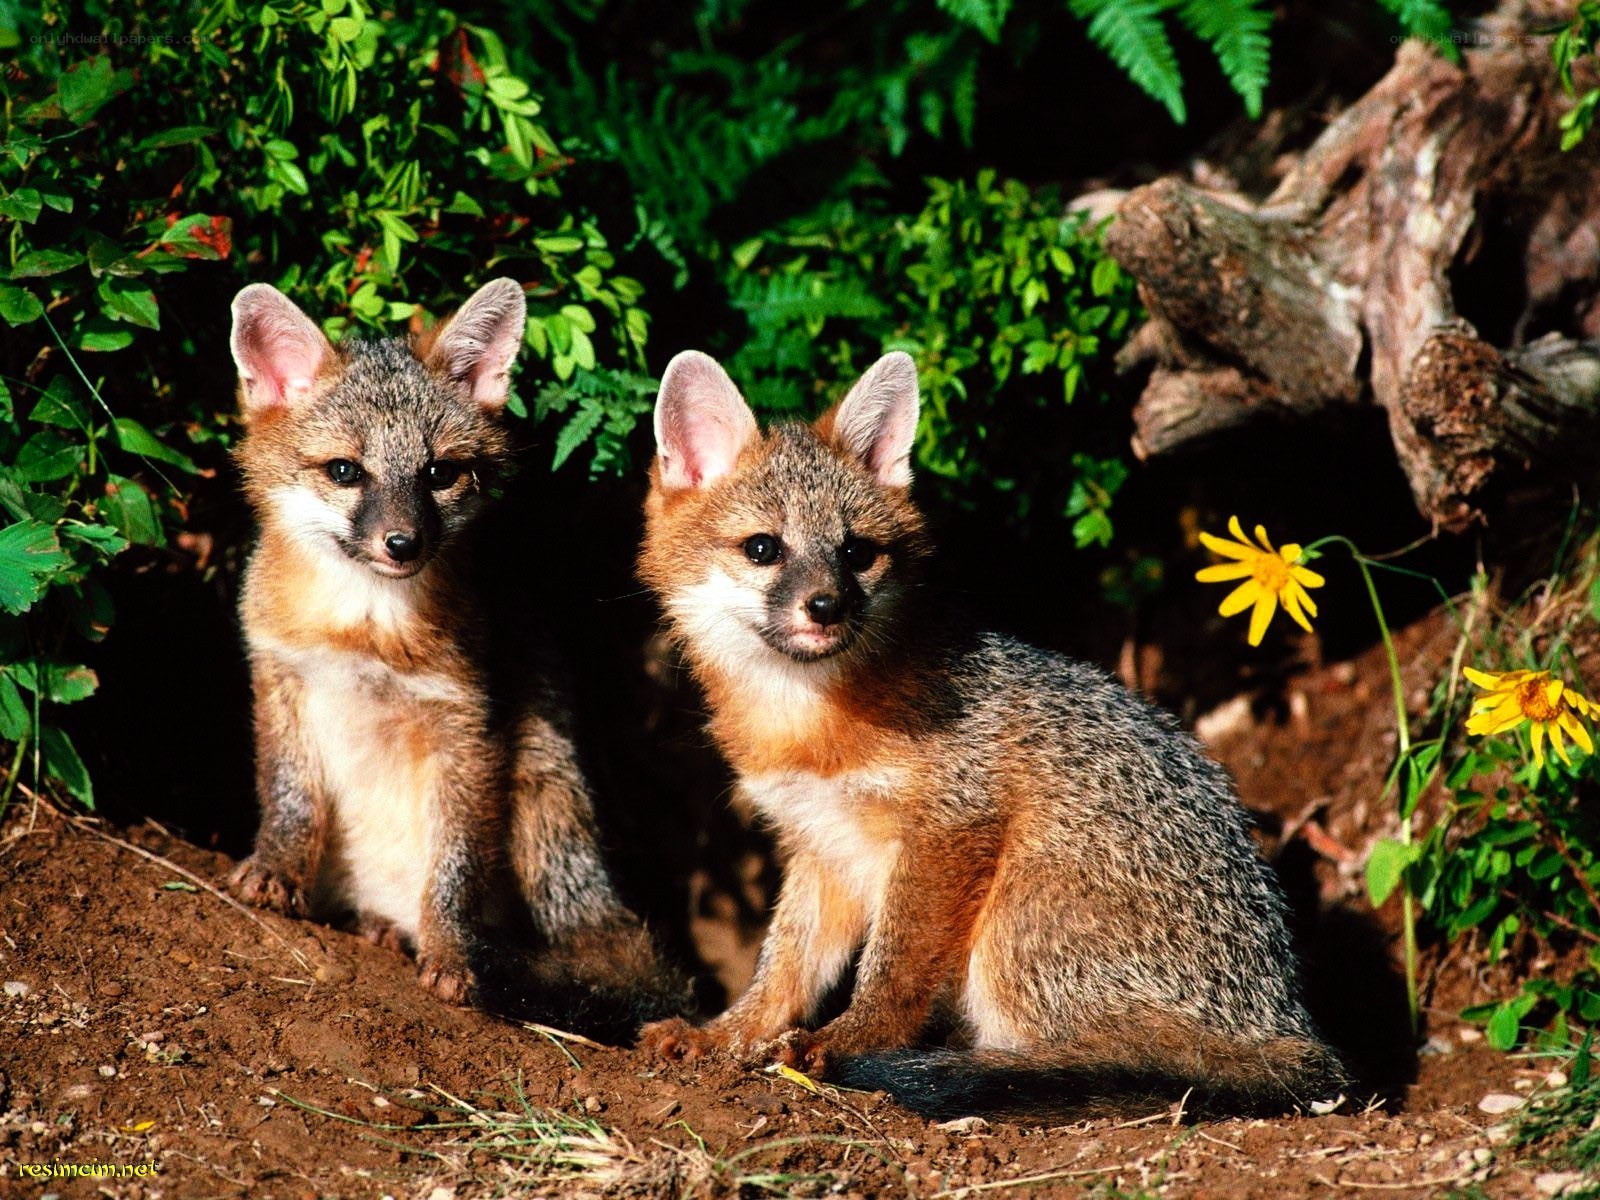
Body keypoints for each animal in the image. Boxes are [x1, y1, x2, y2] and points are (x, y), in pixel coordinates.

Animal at [225, 278, 683, 1040]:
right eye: (345, 472)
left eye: (439, 473)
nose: (402, 543)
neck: (366, 634)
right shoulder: (282, 677)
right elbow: (290, 799)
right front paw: (277, 871)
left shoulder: (465, 723)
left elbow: (455, 869)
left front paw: (453, 954)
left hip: (537, 780)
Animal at [635, 349, 1347, 1119]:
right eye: (763, 549)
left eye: (856, 553)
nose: (826, 606)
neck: (809, 724)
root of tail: (1284, 1021)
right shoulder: (819, 843)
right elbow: (785, 967)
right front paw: (726, 1033)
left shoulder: (952, 825)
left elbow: (893, 967)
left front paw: (851, 1041)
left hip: (1013, 922)